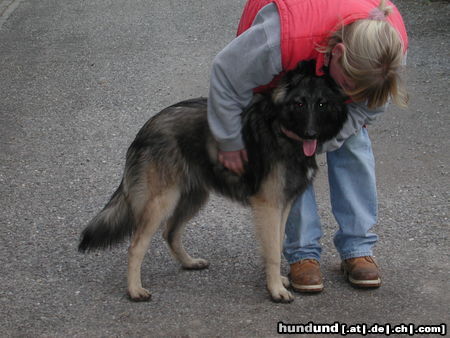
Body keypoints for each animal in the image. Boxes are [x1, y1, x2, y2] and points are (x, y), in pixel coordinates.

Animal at [78, 60, 348, 304]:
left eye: (322, 104)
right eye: (299, 103)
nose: (311, 134)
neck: (281, 130)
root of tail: (147, 127)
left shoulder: (284, 206)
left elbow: (277, 244)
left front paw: (277, 280)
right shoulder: (269, 207)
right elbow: (272, 251)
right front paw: (275, 290)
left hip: (193, 198)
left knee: (170, 232)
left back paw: (189, 262)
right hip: (162, 202)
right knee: (136, 246)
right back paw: (135, 290)